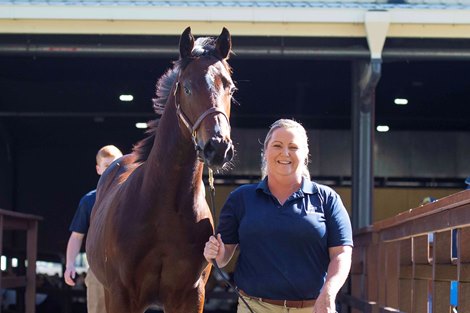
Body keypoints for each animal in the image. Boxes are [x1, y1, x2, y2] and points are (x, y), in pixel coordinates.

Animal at [85, 27, 235, 312]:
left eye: (230, 88)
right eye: (186, 87)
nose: (218, 147)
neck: (164, 208)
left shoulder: (191, 295)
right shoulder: (121, 295)